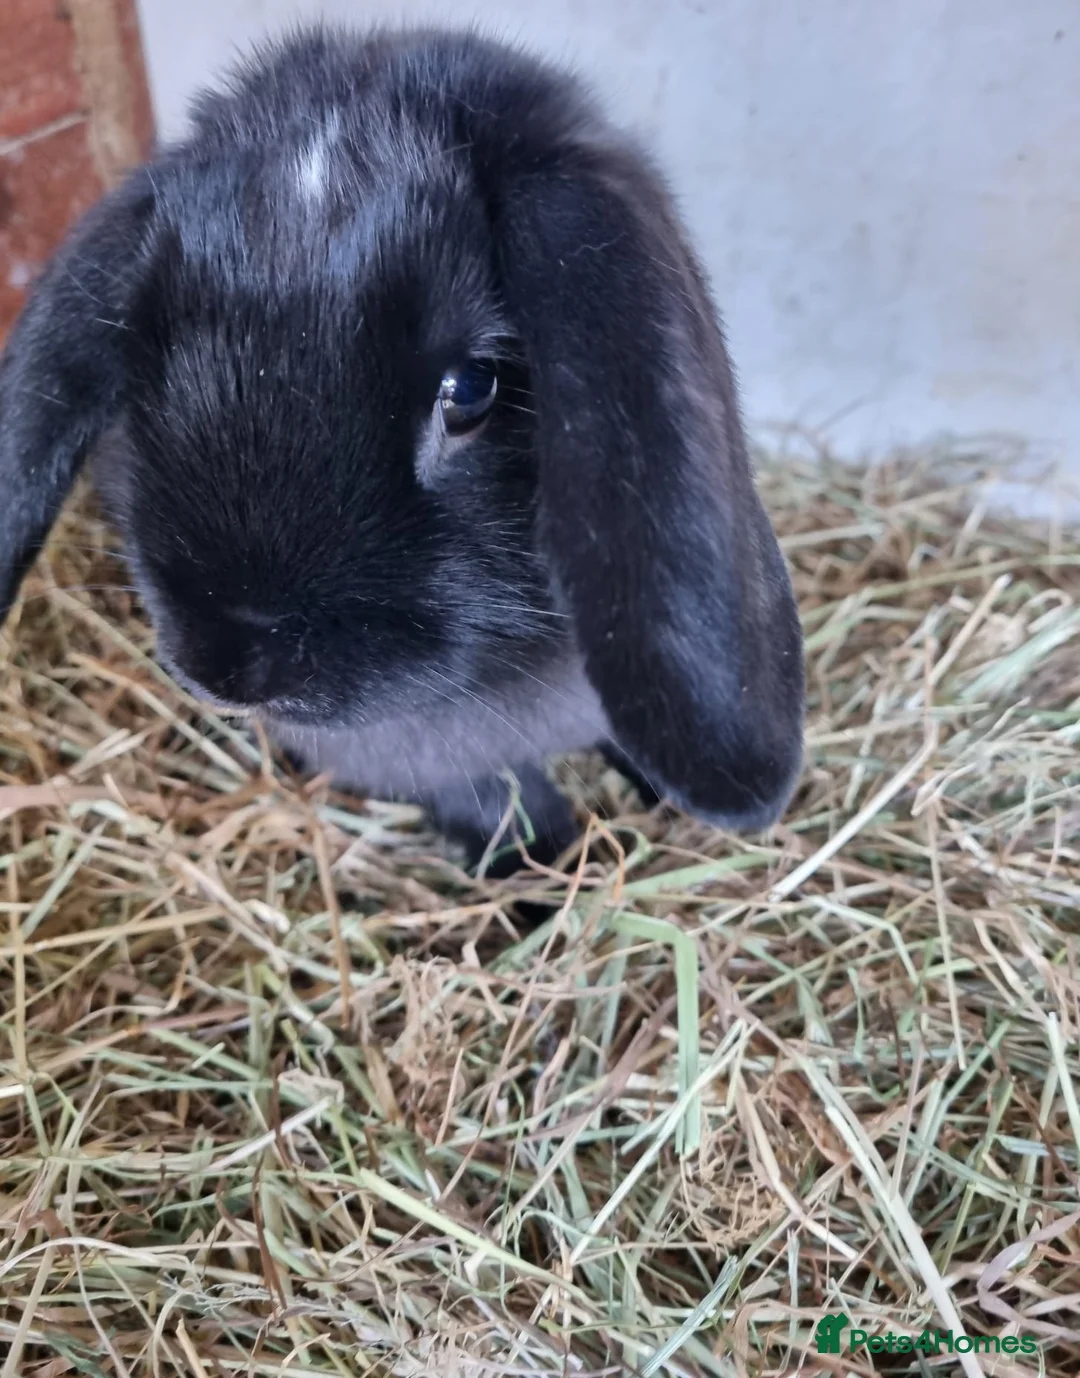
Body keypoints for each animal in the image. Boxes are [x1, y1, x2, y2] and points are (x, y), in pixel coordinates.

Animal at [0, 25, 805, 874]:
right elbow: (499, 801)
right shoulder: (420, 760)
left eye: (471, 388)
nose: (234, 667)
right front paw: (542, 873)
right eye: (145, 362)